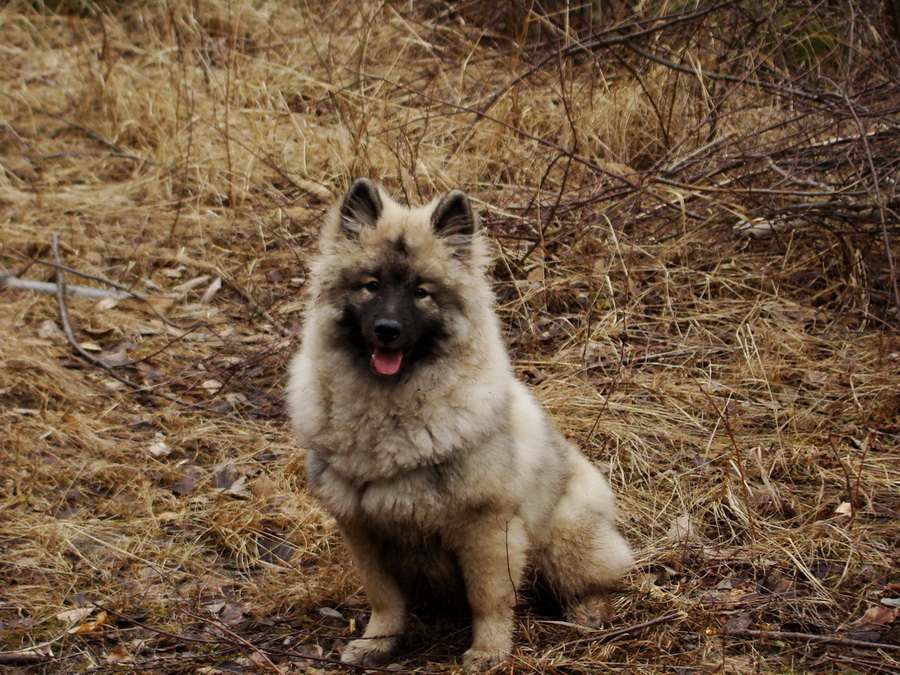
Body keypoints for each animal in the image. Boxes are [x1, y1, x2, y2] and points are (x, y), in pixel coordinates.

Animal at [288, 180, 632, 672]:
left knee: (597, 580)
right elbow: (384, 599)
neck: (386, 412)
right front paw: (379, 642)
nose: (387, 329)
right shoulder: (361, 528)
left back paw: (588, 612)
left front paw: (489, 651)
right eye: (371, 286)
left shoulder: (485, 528)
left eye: (421, 292)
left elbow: (489, 599)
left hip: (563, 535)